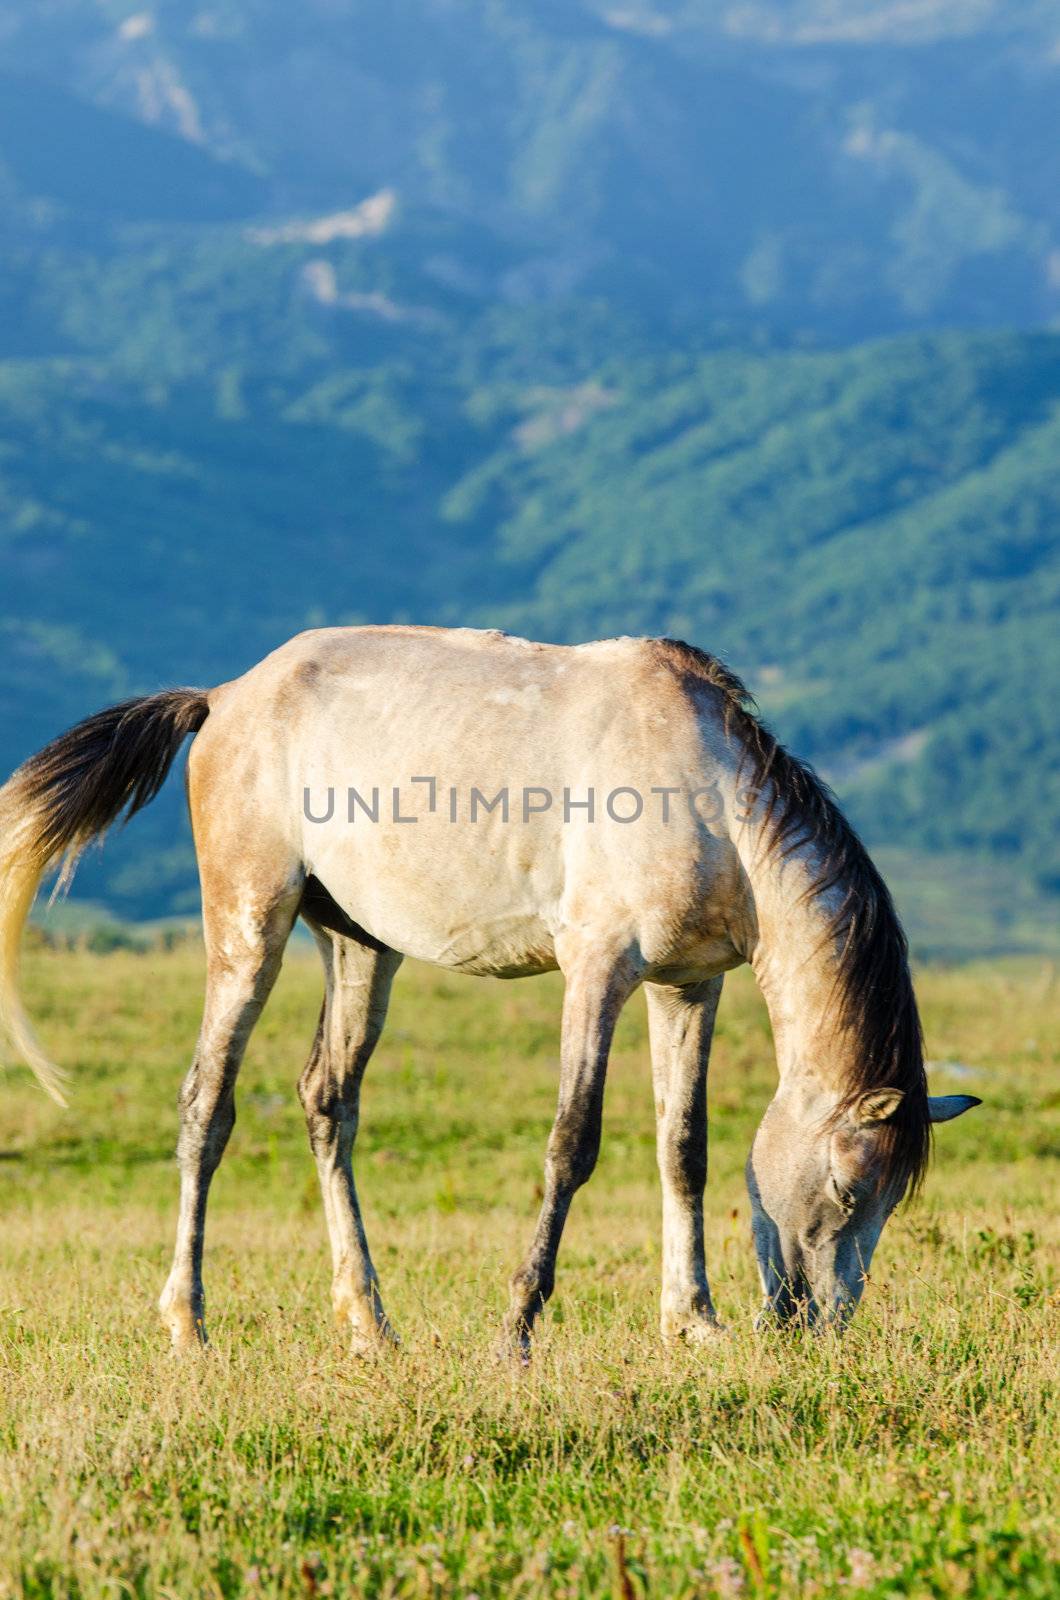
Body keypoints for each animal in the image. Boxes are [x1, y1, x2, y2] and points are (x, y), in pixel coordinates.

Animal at [0, 630, 979, 1356]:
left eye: (890, 1201)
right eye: (848, 1189)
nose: (816, 1327)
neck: (713, 802)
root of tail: (224, 697)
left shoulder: (688, 986)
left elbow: (685, 1149)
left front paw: (693, 1322)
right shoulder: (598, 970)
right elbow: (572, 1145)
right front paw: (519, 1326)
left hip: (358, 944)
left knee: (329, 1102)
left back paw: (370, 1325)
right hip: (250, 925)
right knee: (208, 1104)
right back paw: (188, 1325)